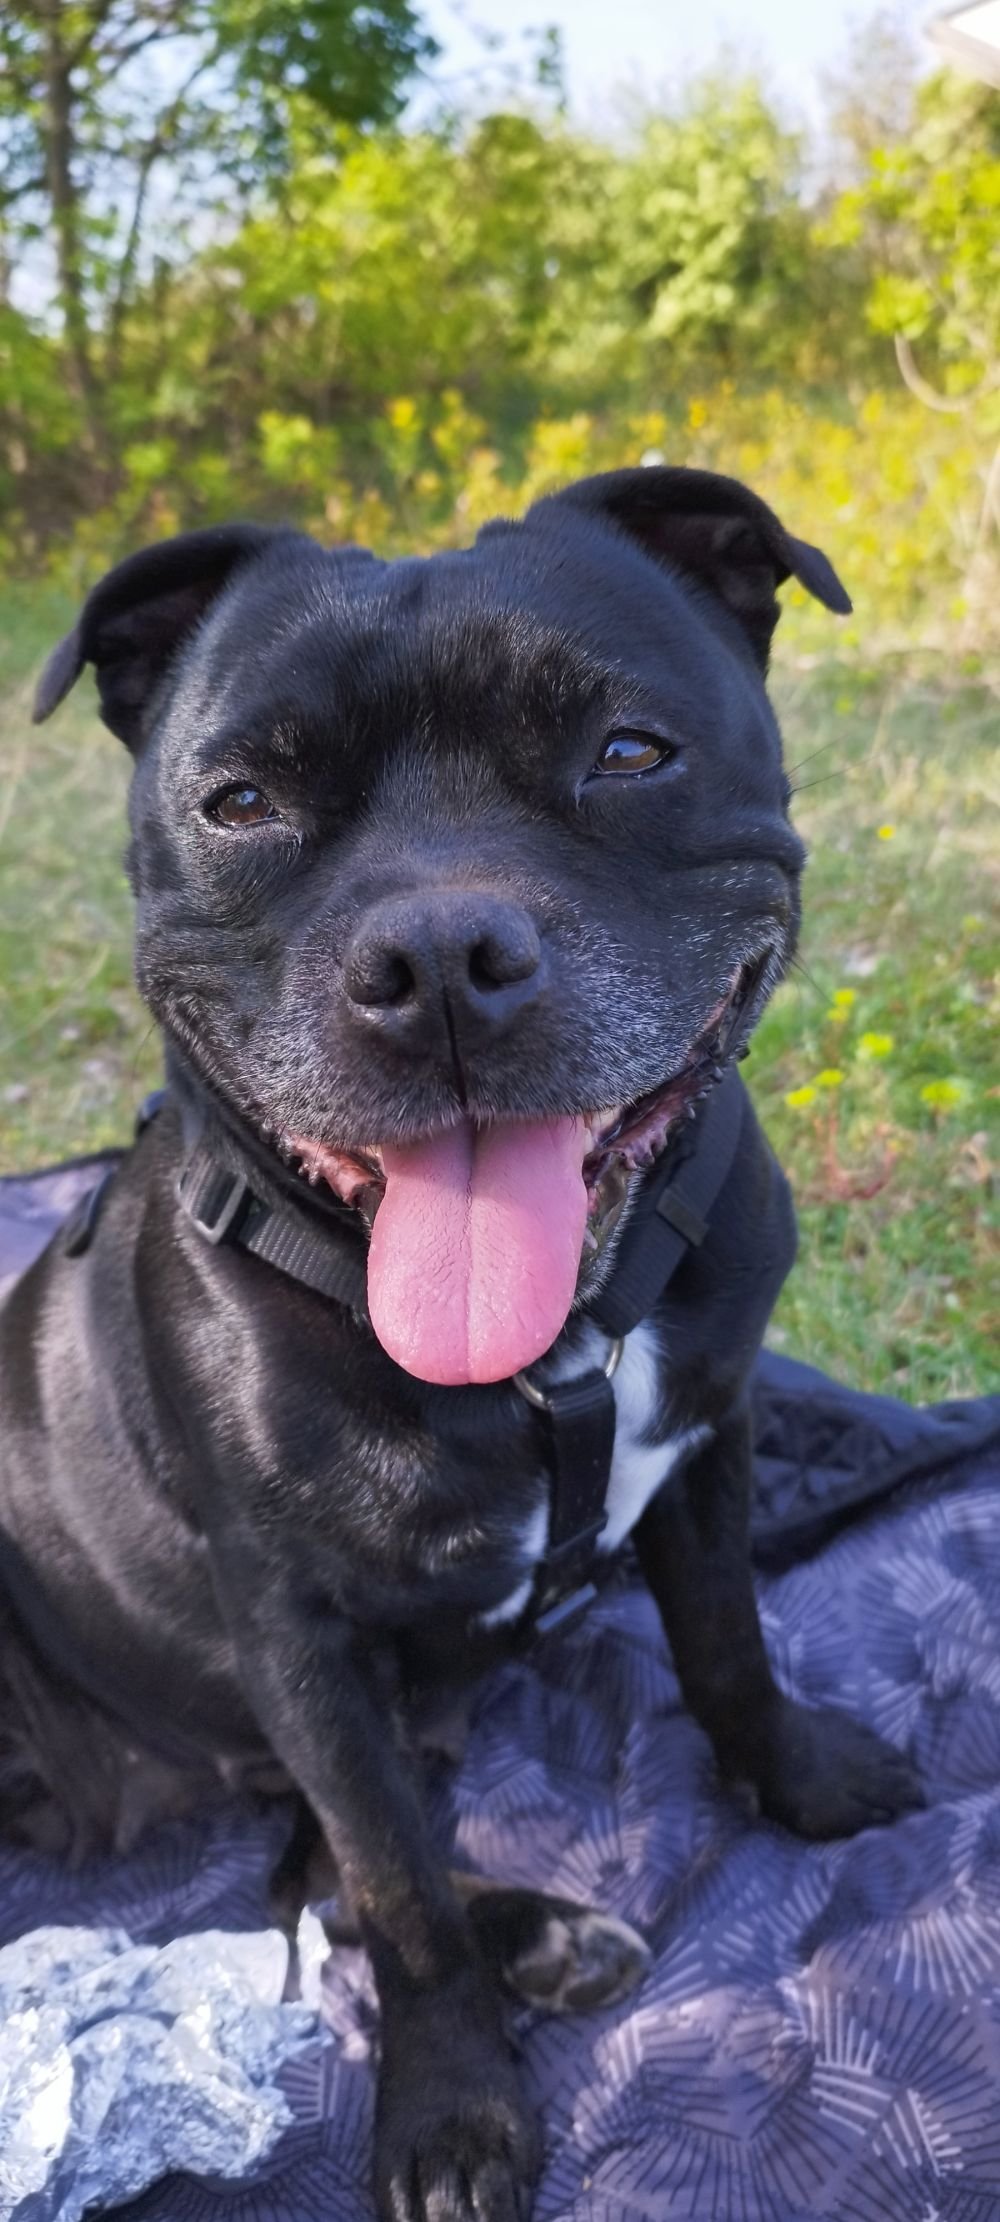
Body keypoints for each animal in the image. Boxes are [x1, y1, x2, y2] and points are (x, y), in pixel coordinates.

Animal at [2, 467, 922, 2222]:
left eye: (629, 751)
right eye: (240, 802)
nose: (436, 960)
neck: (546, 1347)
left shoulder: (706, 1446)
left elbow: (730, 1643)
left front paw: (801, 1777)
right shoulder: (302, 1639)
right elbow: (403, 1898)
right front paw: (451, 2107)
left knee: (312, 1865)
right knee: (345, 1872)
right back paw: (534, 1936)